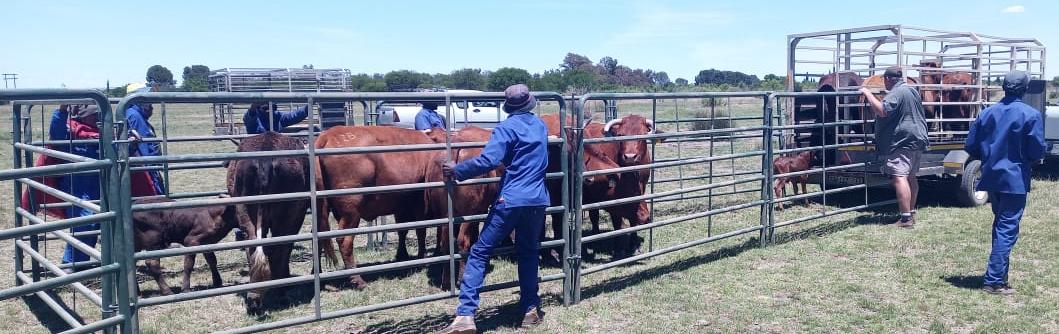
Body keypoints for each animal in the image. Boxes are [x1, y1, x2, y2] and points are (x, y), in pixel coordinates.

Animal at [313, 126, 434, 288]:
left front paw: (401, 255)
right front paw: (422, 258)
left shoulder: (401, 206)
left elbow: (402, 230)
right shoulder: (419, 202)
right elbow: (420, 230)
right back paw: (357, 280)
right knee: (344, 241)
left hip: (324, 209)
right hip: (351, 212)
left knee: (318, 238)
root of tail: (327, 135)